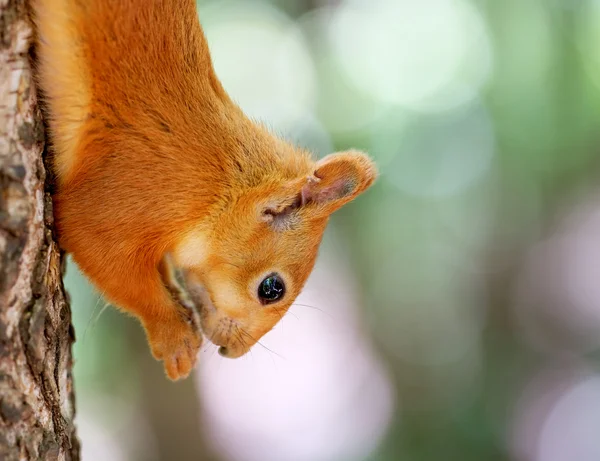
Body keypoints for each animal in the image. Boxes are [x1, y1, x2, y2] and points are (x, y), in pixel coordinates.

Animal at [31, 0, 376, 380]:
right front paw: (174, 336)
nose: (234, 352)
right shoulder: (137, 189)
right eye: (271, 289)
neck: (221, 190)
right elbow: (100, 250)